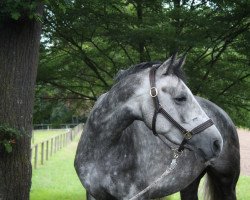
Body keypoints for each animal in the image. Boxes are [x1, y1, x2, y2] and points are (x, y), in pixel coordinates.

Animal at [75, 55, 239, 199]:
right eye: (181, 98)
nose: (217, 142)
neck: (101, 151)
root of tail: (223, 114)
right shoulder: (93, 194)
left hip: (227, 183)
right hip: (189, 184)